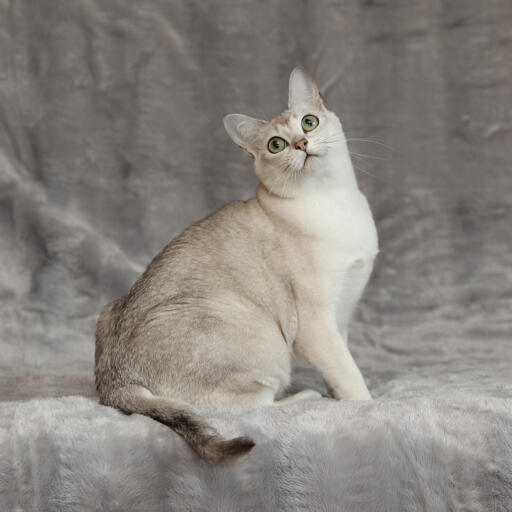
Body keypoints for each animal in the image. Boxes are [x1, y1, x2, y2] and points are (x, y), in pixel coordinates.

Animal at [94, 67, 378, 464]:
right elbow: (349, 374)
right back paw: (308, 398)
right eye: (276, 145)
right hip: (264, 336)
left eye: (309, 122)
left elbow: (341, 367)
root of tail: (114, 384)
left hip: (108, 309)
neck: (334, 202)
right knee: (249, 408)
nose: (301, 144)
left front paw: (340, 395)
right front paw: (364, 406)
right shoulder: (317, 322)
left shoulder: (343, 315)